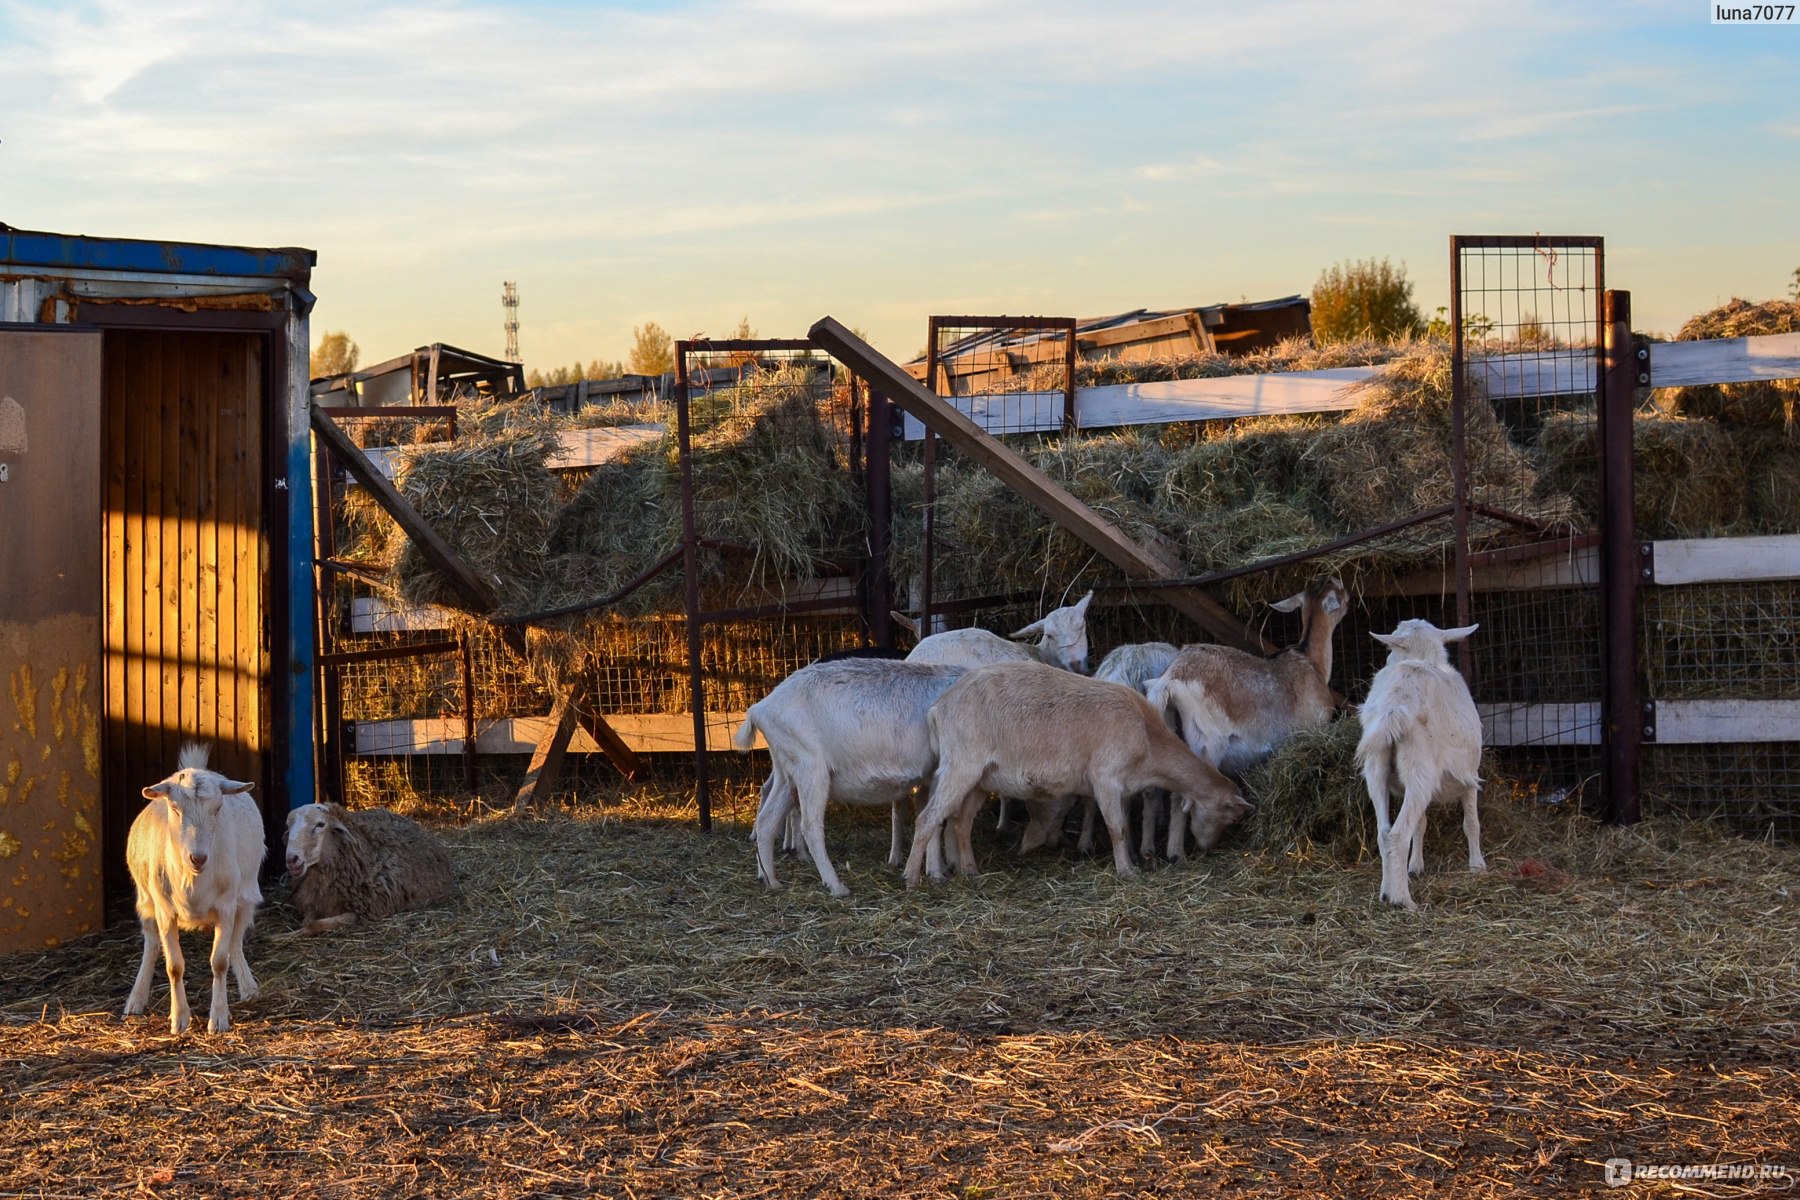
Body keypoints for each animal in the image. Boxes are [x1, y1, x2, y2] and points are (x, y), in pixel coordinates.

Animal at [125, 741, 264, 1036]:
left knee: (235, 943)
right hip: (146, 902)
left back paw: (248, 988)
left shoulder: (226, 906)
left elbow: (220, 961)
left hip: (246, 897)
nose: (197, 858)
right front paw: (179, 1019)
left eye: (218, 808)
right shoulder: (165, 910)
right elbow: (174, 966)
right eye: (175, 809)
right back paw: (136, 1000)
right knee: (151, 946)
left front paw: (219, 1018)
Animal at [286, 805, 457, 935]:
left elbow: (314, 925)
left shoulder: (364, 912)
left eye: (320, 824)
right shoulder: (312, 902)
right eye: (288, 826)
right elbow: (307, 920)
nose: (291, 859)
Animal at [1353, 618, 1483, 910]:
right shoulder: (1470, 776)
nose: (1388, 658)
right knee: (1398, 834)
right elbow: (1471, 823)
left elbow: (1420, 825)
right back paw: (1403, 901)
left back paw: (1386, 892)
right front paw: (1478, 866)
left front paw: (1415, 866)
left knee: (1384, 833)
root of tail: (1396, 702)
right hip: (1420, 768)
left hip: (1377, 769)